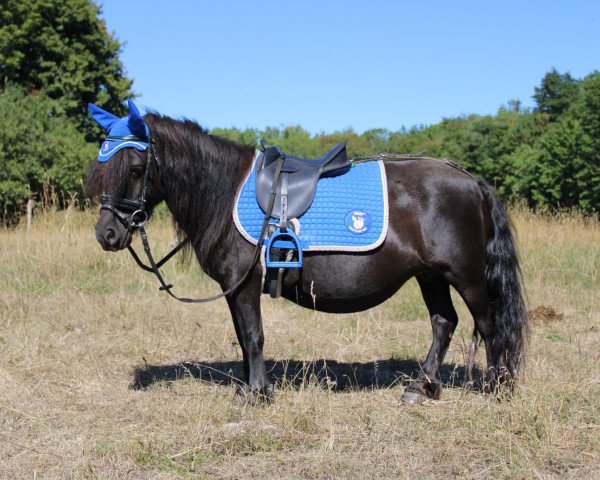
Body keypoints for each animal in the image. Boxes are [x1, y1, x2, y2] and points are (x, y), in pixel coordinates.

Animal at [86, 108, 528, 402]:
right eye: (102, 167)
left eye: (136, 168)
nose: (106, 234)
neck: (224, 190)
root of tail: (471, 181)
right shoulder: (234, 288)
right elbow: (243, 338)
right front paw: (249, 388)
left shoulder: (244, 284)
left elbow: (253, 336)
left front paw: (258, 394)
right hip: (431, 275)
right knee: (444, 323)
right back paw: (421, 387)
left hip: (467, 276)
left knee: (488, 327)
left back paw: (496, 390)